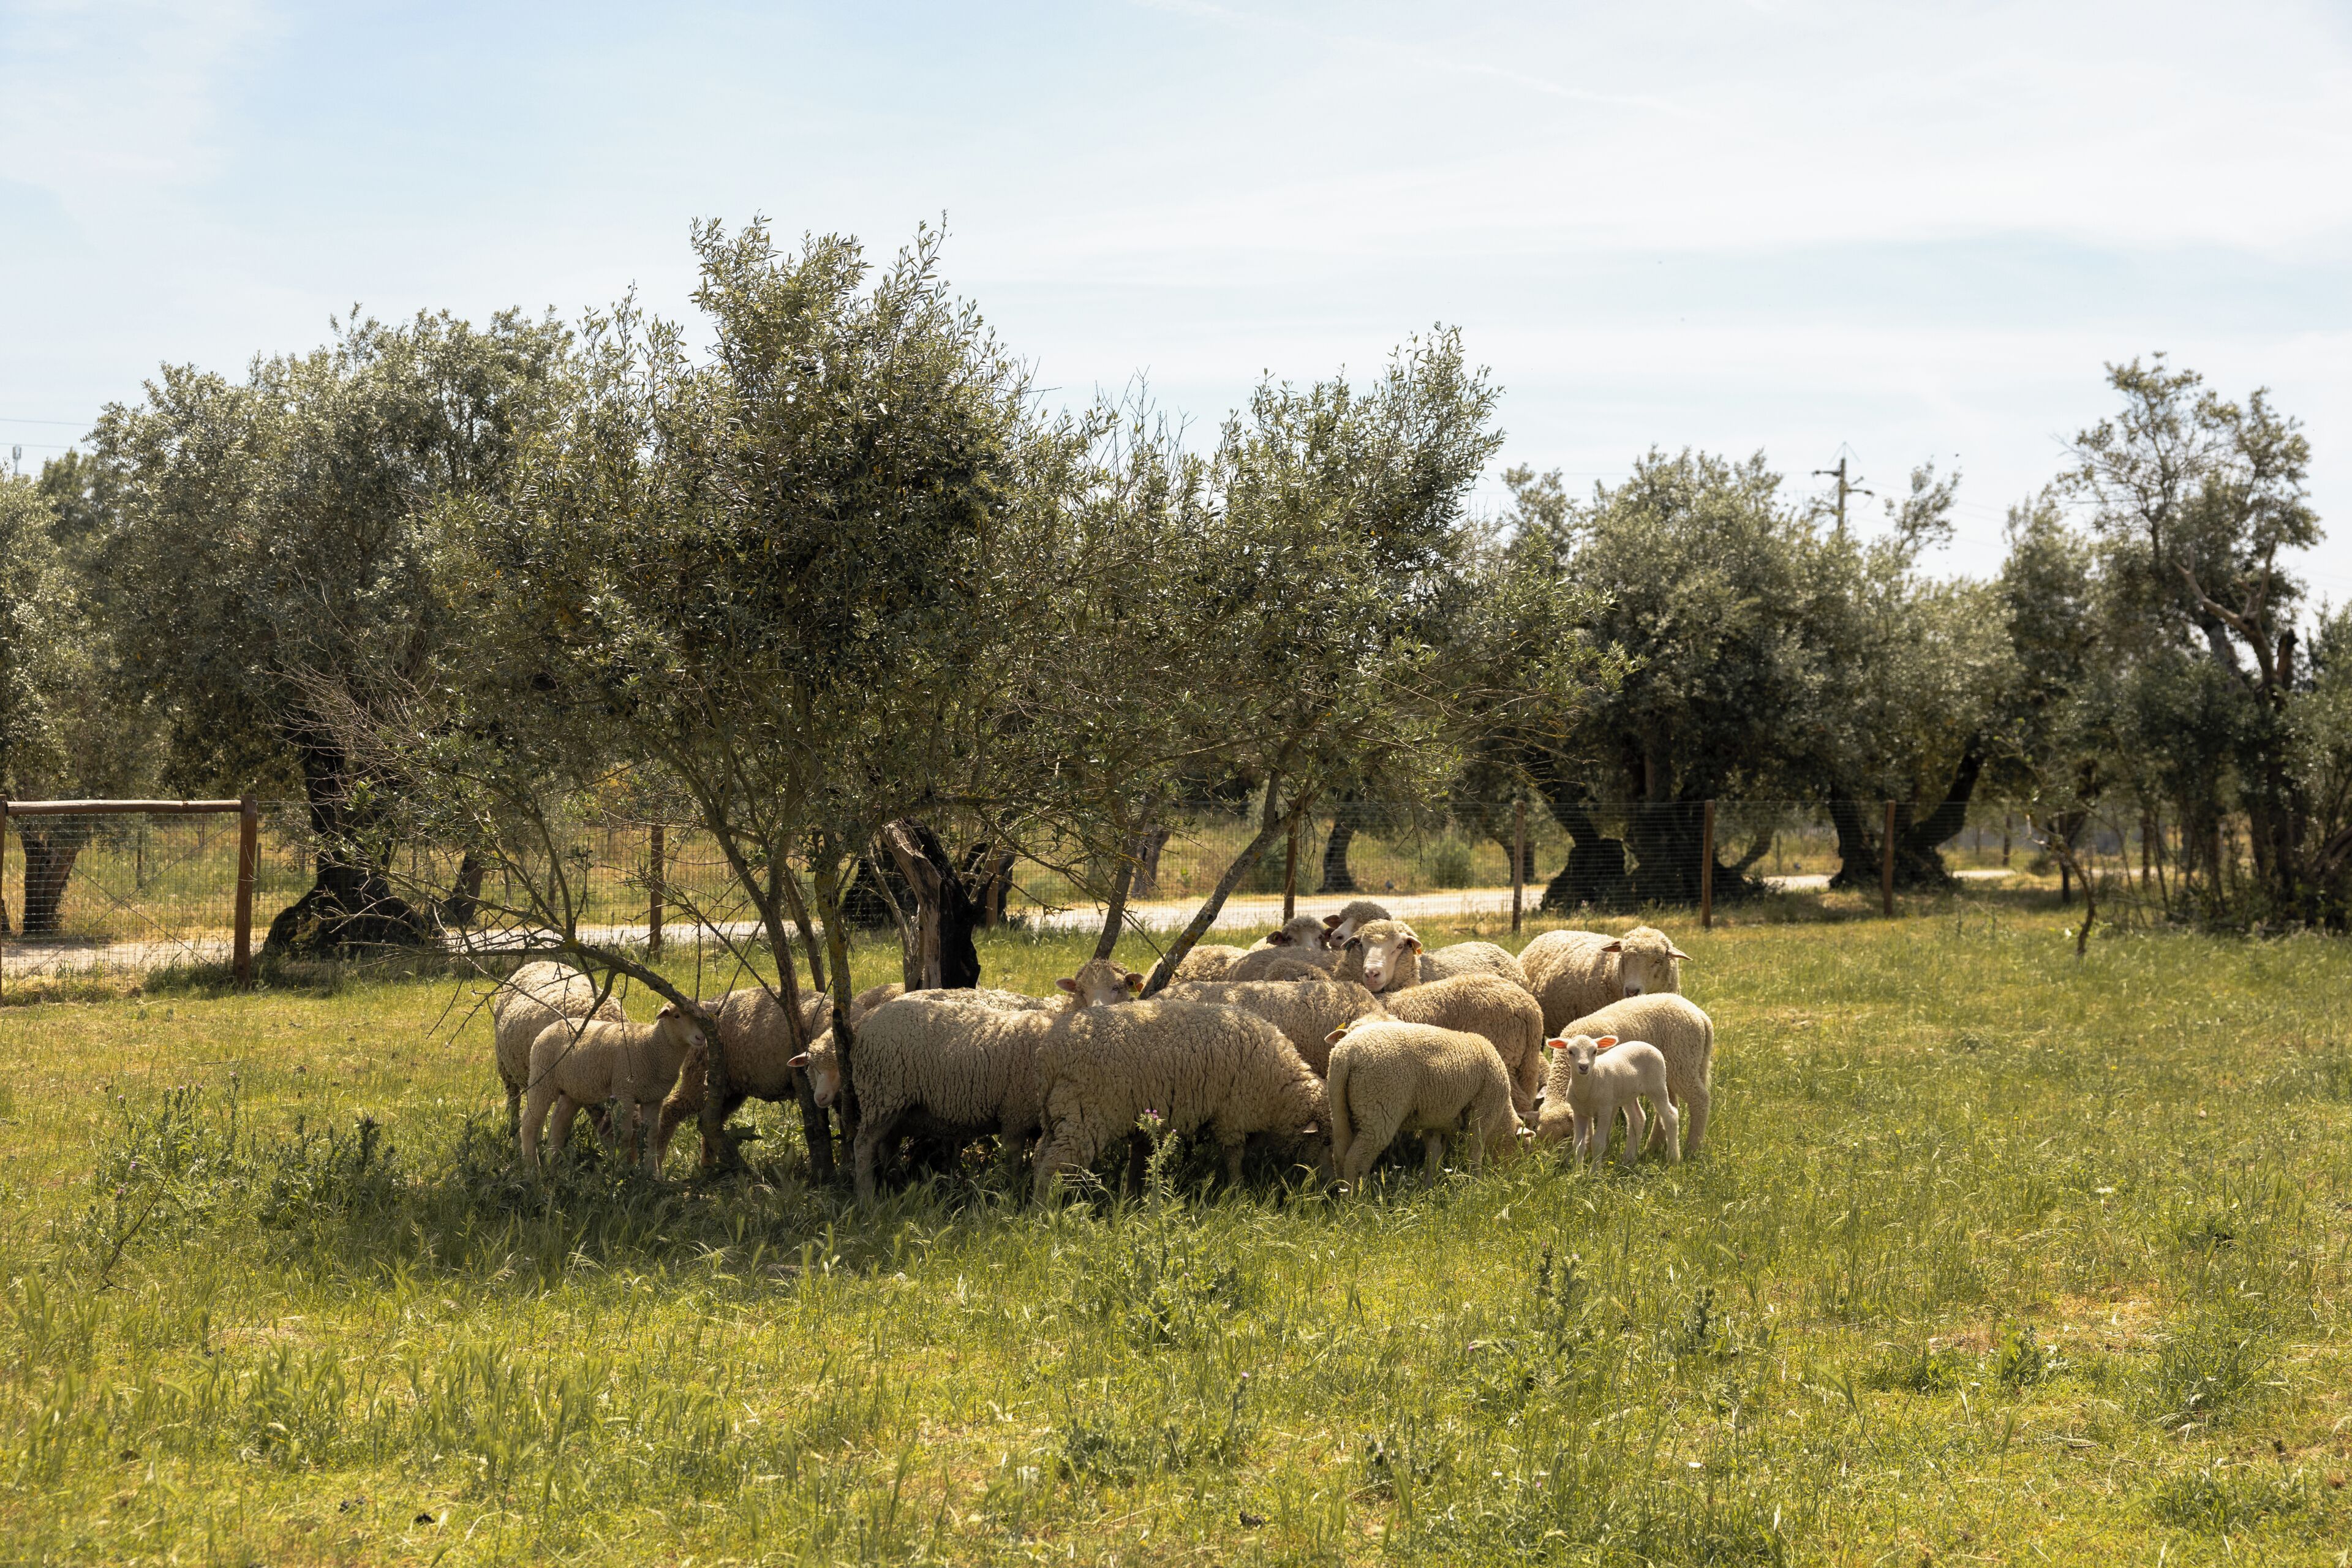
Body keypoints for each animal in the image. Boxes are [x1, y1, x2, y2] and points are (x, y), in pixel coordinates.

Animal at [521, 1003, 708, 1171]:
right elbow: (625, 1135)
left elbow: (653, 1135)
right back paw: (532, 1168)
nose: (701, 1038)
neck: (653, 1046)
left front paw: (653, 1174)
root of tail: (549, 1028)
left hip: (573, 1089)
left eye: (699, 1018)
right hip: (543, 1080)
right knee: (530, 1122)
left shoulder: (654, 1097)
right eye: (676, 1016)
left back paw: (553, 1166)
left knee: (559, 1123)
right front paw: (621, 1171)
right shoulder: (624, 1091)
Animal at [1032, 999, 1328, 1199]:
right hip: (1084, 1114)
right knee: (1053, 1164)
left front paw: (1133, 1197)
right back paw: (1045, 1212)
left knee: (1040, 1155)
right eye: (1327, 1141)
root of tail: (1049, 1053)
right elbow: (1234, 1157)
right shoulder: (1232, 1115)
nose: (1328, 1185)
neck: (1281, 1091)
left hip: (1058, 1111)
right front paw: (1236, 1192)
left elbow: (1139, 1160)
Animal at [1322, 1017, 1519, 1185]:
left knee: (1339, 1154)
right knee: (1356, 1159)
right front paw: (1476, 1184)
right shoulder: (1483, 1112)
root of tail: (1345, 1054)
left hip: (1340, 1107)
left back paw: (1344, 1195)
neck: (1503, 1115)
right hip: (1379, 1107)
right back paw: (1357, 1200)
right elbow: (1474, 1153)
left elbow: (1434, 1155)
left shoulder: (1436, 1121)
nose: (1512, 1174)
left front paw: (1429, 1187)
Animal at [1539, 1034, 1679, 1171]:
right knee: (1638, 1118)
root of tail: (1645, 1044)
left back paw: (1673, 1159)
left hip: (1657, 1084)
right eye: (1570, 1051)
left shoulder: (1605, 1110)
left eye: (1595, 1051)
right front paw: (1577, 1173)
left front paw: (1594, 1173)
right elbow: (1578, 1143)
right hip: (1628, 1093)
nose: (1584, 1067)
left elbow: (1598, 1143)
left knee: (1670, 1116)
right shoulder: (1578, 1112)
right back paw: (1628, 1160)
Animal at [1545, 993, 1715, 1156]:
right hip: (1672, 1071)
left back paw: (1692, 1148)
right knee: (1670, 1105)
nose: (1559, 1162)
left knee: (1700, 1100)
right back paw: (1653, 1146)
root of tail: (1701, 1016)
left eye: (1567, 1134)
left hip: (1682, 1062)